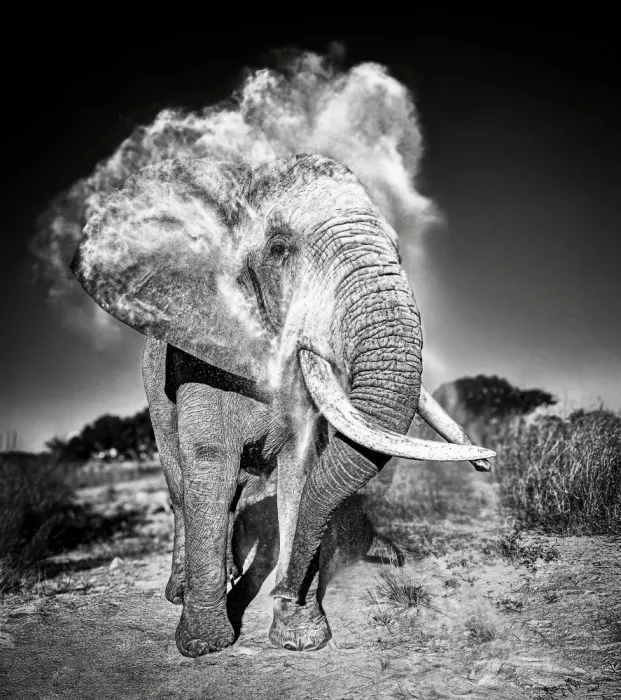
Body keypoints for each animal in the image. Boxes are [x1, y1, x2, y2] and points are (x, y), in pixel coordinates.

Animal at [70, 154, 495, 656]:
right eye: (278, 249)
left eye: (398, 250)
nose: (486, 463)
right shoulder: (196, 354)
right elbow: (210, 462)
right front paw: (204, 645)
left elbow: (301, 468)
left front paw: (300, 636)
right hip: (153, 390)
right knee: (182, 483)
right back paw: (181, 592)